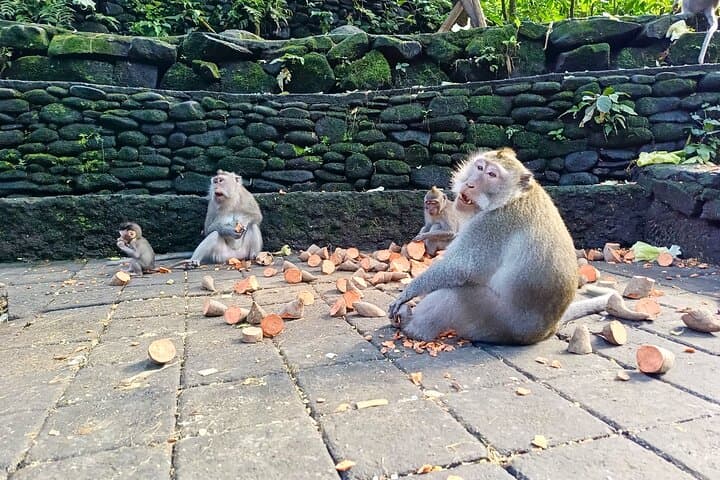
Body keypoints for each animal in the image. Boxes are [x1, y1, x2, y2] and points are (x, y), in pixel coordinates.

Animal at [387, 148, 644, 345]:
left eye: (492, 174)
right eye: (479, 167)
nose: (470, 184)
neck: (509, 197)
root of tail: (548, 329)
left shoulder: (491, 225)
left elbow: (459, 268)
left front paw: (407, 294)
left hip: (496, 322)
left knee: (452, 296)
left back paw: (413, 328)